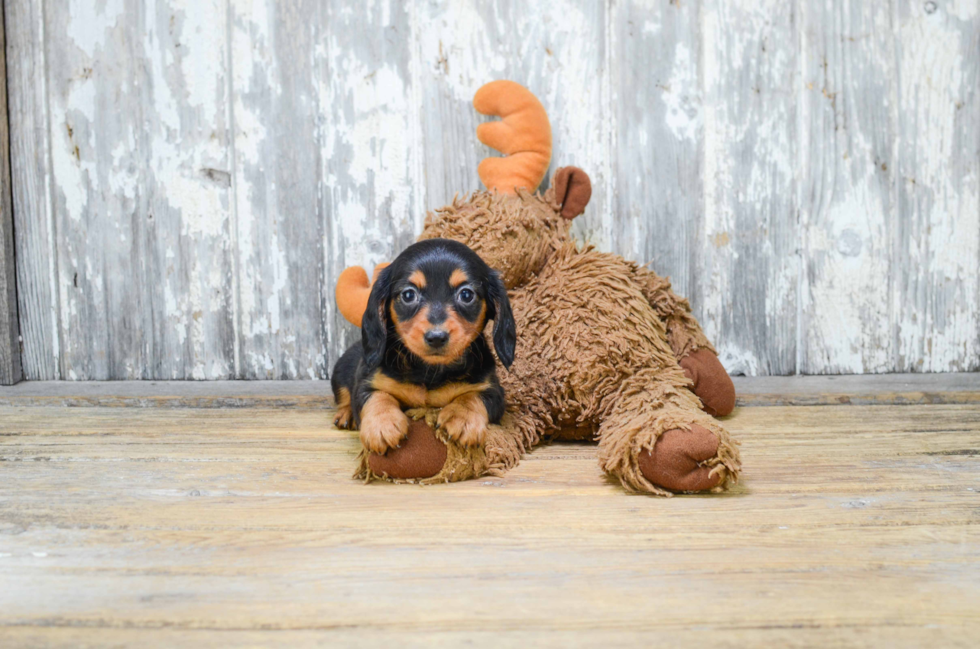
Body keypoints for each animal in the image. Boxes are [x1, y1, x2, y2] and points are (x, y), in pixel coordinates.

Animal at [330, 238, 516, 456]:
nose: (436, 337)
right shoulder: (367, 381)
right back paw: (346, 414)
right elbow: (376, 396)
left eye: (466, 294)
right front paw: (382, 424)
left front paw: (463, 418)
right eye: (408, 295)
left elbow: (474, 396)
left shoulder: (493, 390)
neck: (429, 371)